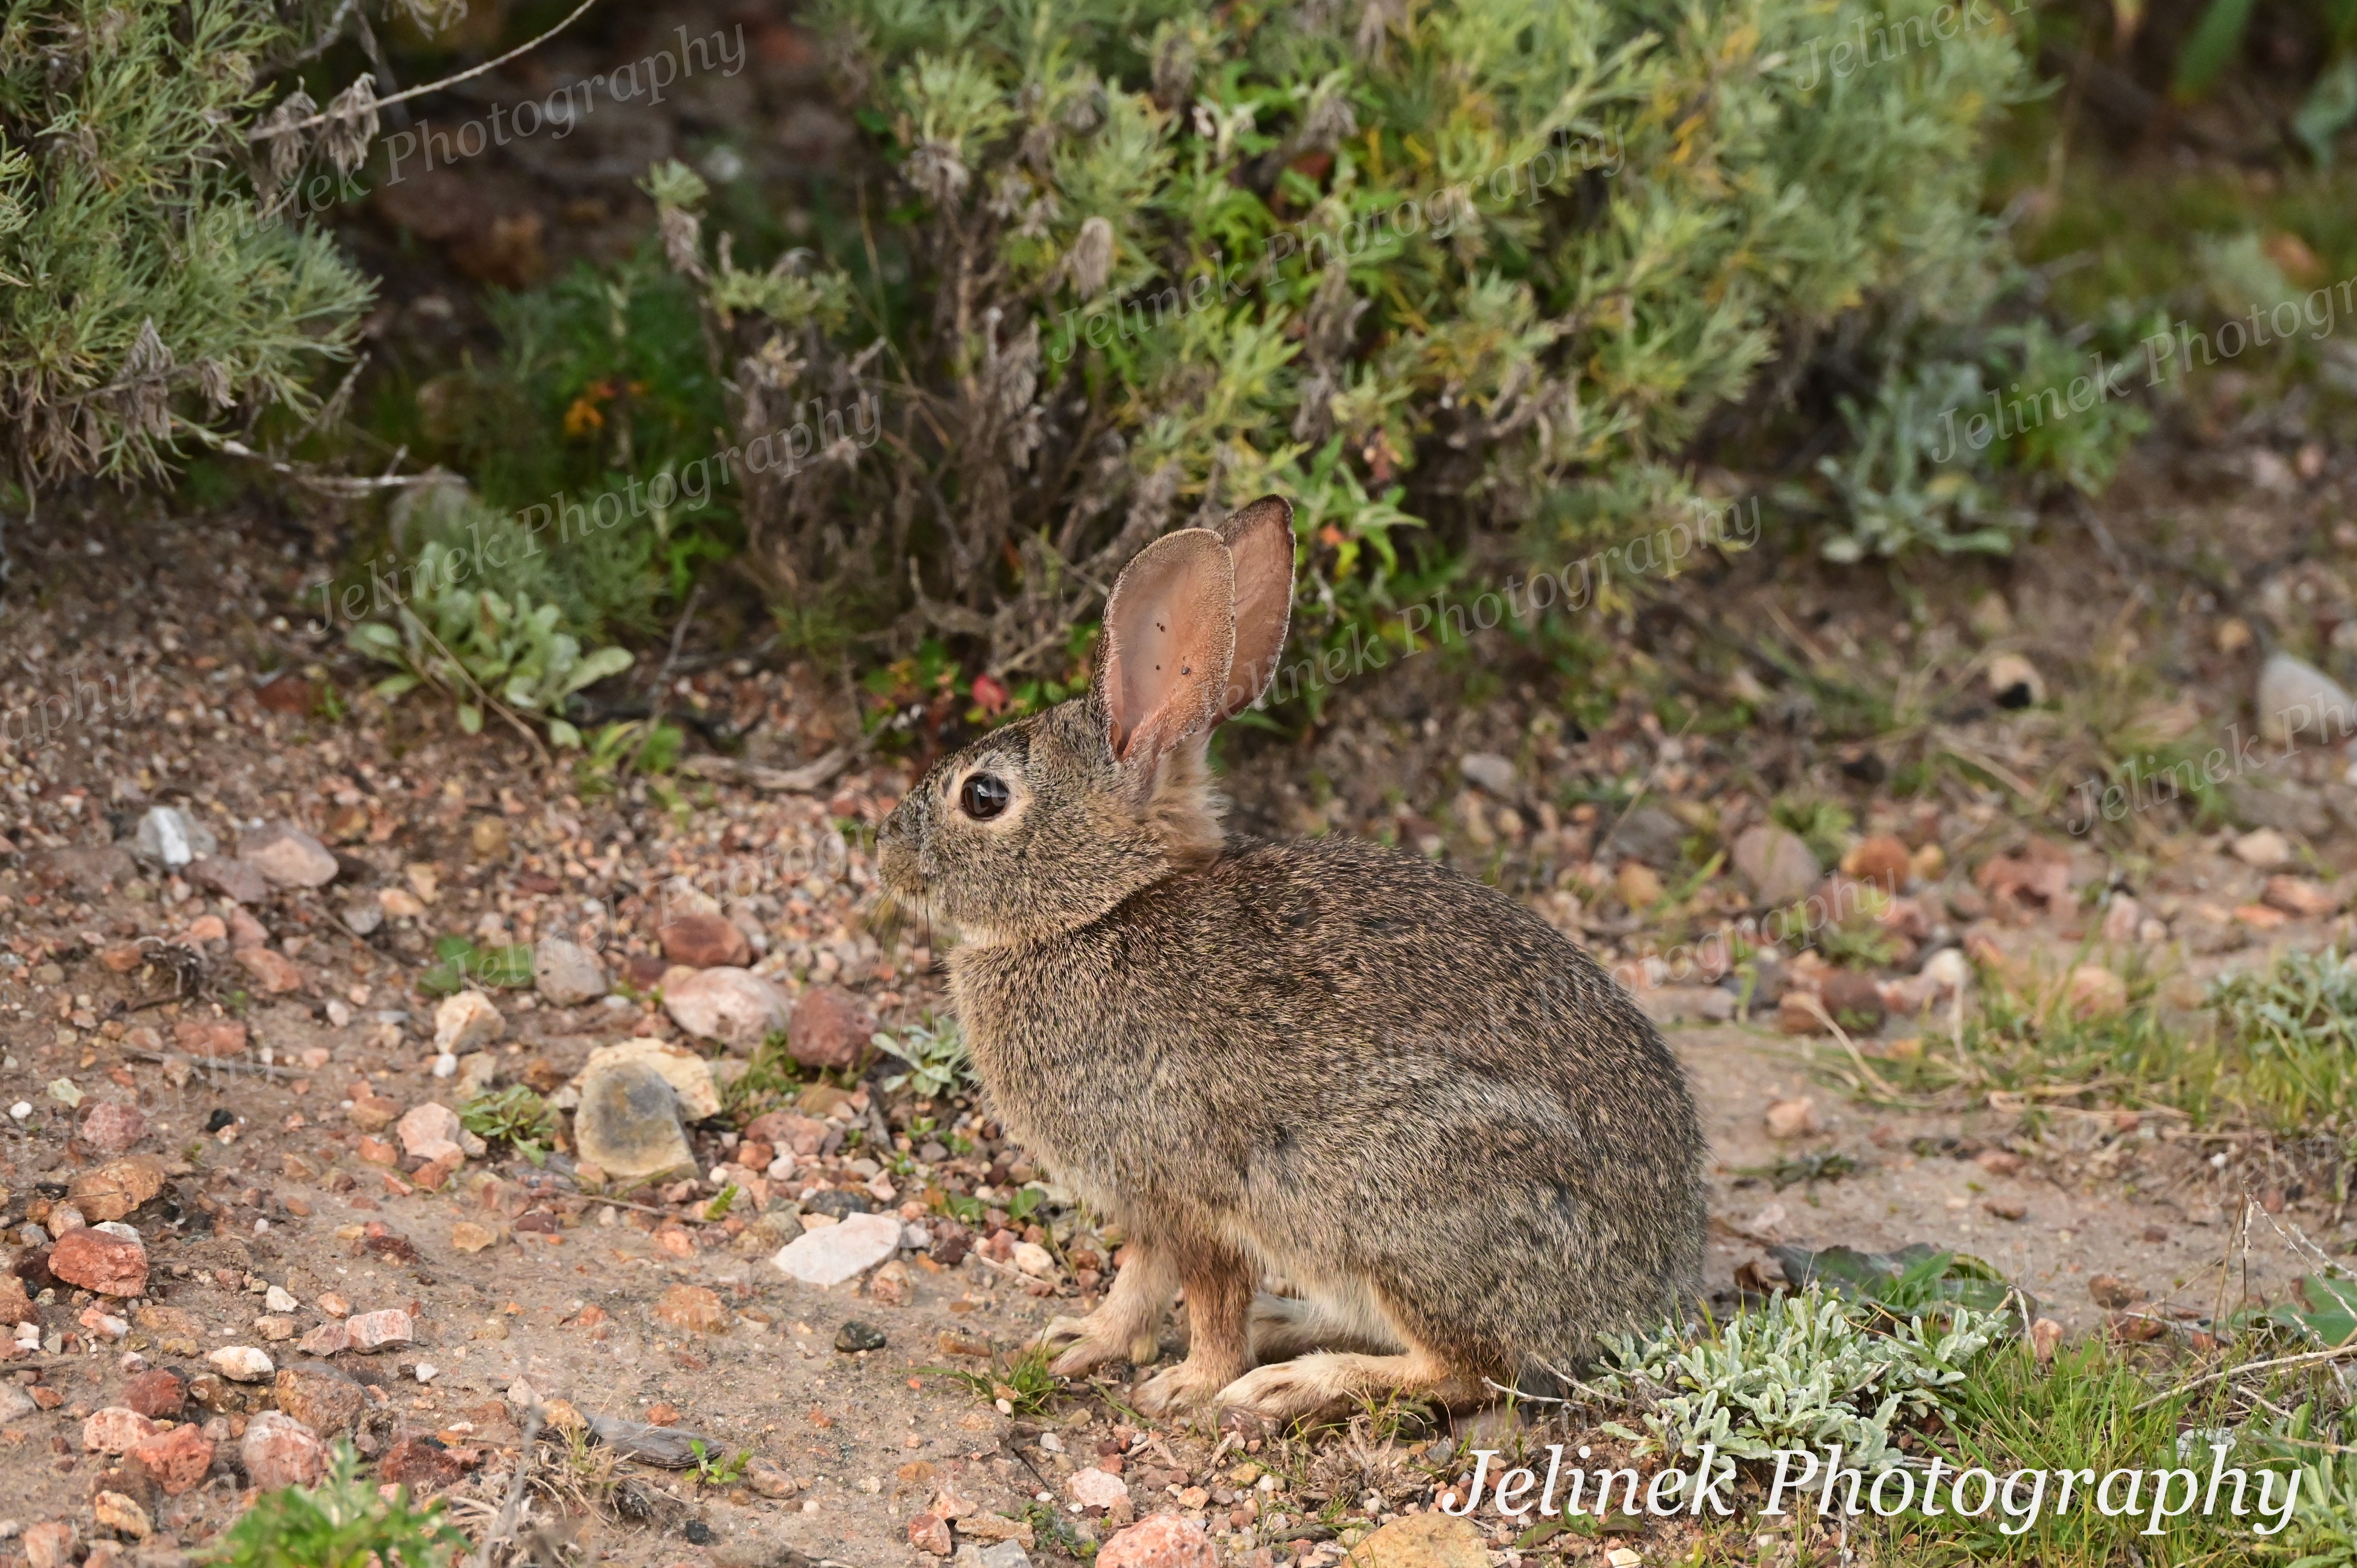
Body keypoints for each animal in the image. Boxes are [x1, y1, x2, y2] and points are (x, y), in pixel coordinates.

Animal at [875, 495, 1707, 1425]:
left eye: (982, 796)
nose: (885, 851)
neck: (1097, 913)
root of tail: (1645, 1288)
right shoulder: (1149, 1205)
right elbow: (1138, 1283)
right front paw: (1079, 1340)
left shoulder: (1190, 1192)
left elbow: (1206, 1294)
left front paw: (1185, 1385)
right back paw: (1286, 1325)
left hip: (1403, 1211)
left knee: (1466, 1367)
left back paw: (1289, 1382)